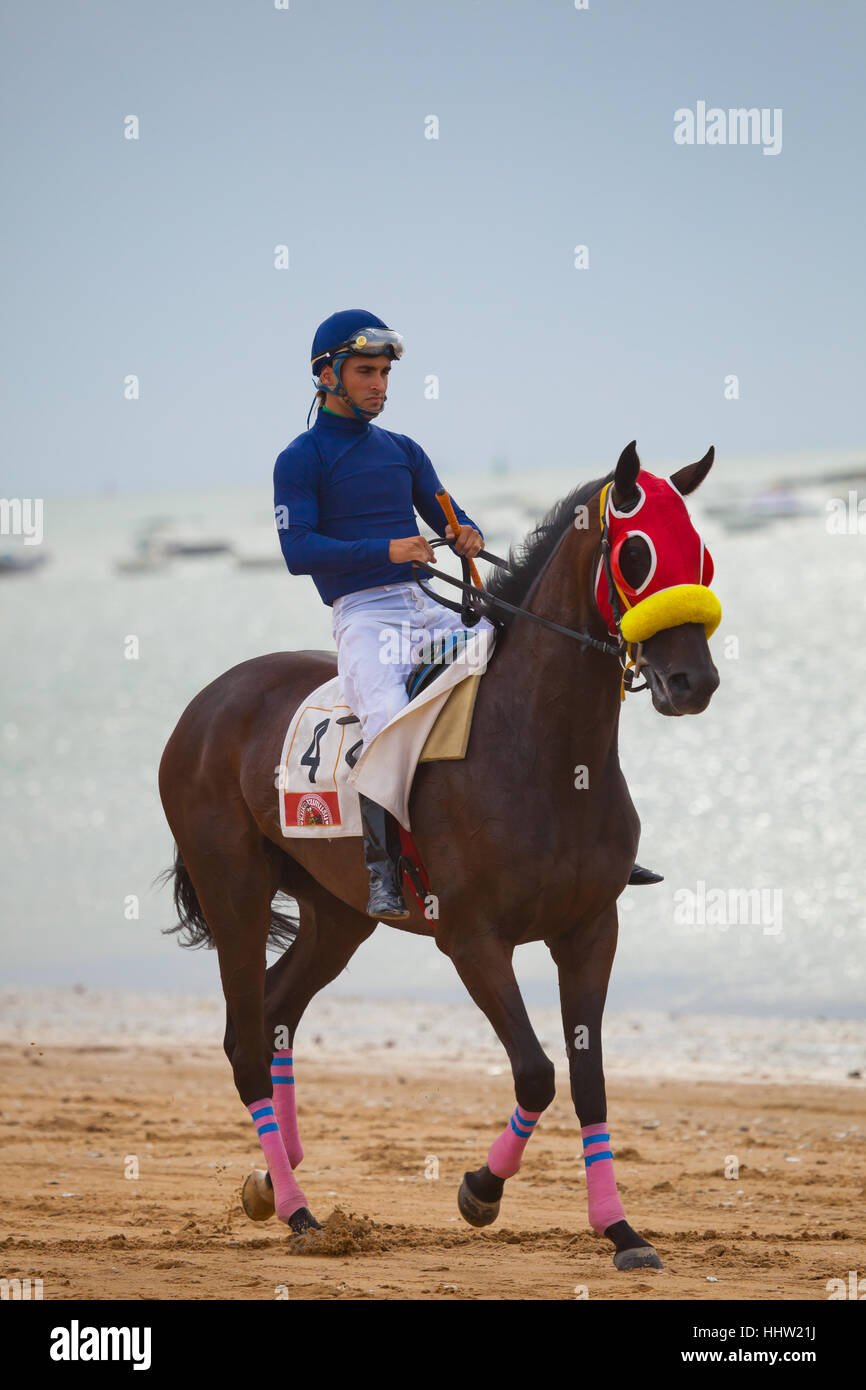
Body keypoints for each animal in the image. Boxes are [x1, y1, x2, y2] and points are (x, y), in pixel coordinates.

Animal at [157, 440, 720, 1270]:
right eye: (637, 553)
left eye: (703, 554)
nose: (693, 680)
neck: (545, 752)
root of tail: (207, 703)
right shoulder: (472, 939)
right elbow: (536, 1074)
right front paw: (480, 1191)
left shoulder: (591, 930)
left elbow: (587, 1079)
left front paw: (621, 1230)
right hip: (236, 890)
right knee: (246, 1039)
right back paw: (297, 1209)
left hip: (339, 913)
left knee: (279, 1008)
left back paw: (275, 1174)